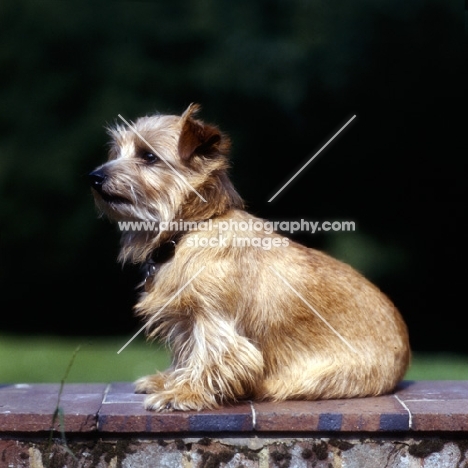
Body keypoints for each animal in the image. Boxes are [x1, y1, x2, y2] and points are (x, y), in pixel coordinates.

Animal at [88, 102, 410, 410]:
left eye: (149, 156)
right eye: (116, 151)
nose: (94, 176)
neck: (192, 228)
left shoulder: (212, 319)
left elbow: (212, 355)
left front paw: (184, 392)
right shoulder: (185, 321)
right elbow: (188, 353)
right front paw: (169, 381)